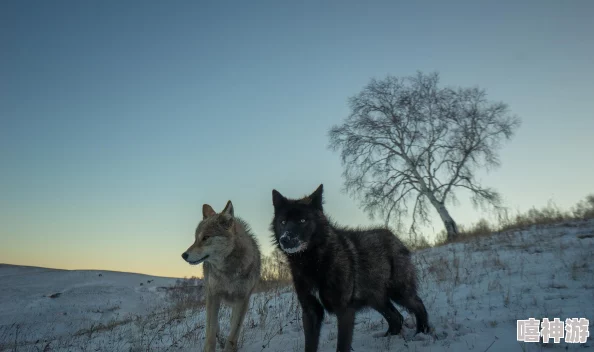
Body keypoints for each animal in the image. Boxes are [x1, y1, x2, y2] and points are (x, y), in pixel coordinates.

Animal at [180, 201, 260, 352]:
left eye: (205, 237)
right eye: (195, 239)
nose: (184, 255)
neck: (228, 272)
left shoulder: (243, 299)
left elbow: (233, 334)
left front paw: (230, 347)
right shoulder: (213, 295)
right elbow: (210, 333)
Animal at [270, 184, 428, 352]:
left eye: (302, 220)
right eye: (283, 222)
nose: (285, 240)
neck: (313, 263)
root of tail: (393, 236)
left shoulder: (344, 310)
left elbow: (342, 345)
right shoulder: (310, 311)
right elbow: (310, 346)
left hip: (399, 292)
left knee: (418, 305)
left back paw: (422, 333)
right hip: (376, 299)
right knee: (396, 317)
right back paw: (387, 339)